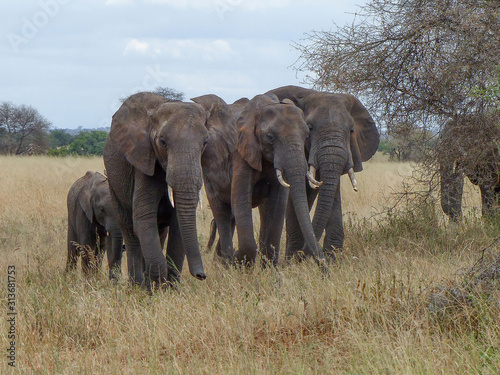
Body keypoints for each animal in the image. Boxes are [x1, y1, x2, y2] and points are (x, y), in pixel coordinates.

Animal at [103, 92, 215, 288]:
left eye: (205, 142)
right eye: (162, 142)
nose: (201, 275)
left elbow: (177, 222)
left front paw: (170, 287)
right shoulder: (142, 160)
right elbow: (143, 218)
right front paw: (156, 286)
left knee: (159, 230)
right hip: (114, 184)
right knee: (130, 230)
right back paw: (137, 285)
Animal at [268, 85, 380, 262]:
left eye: (351, 130)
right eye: (310, 128)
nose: (306, 256)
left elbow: (331, 192)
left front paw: (333, 259)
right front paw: (293, 262)